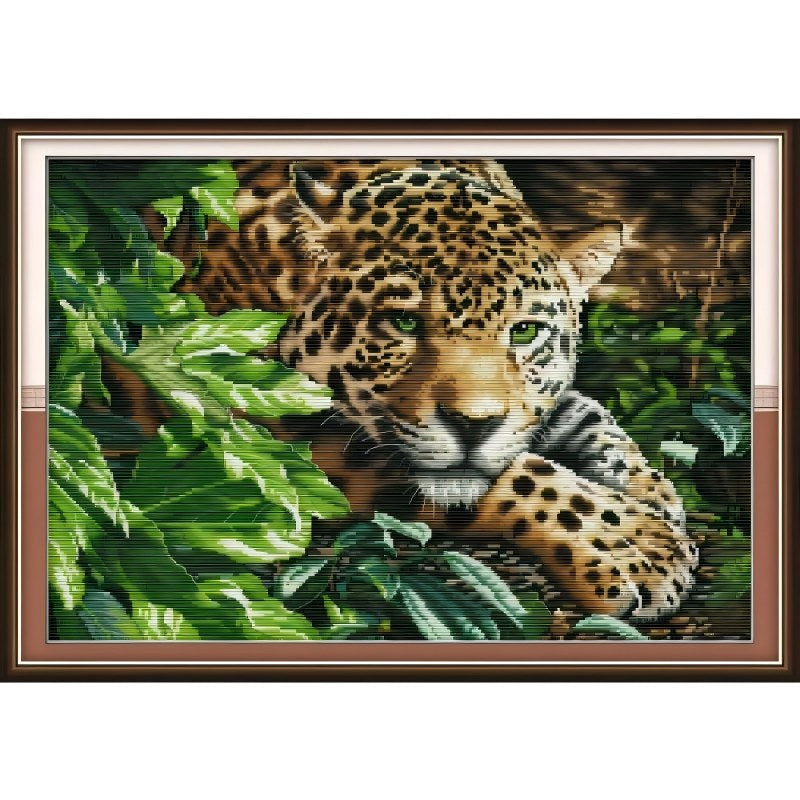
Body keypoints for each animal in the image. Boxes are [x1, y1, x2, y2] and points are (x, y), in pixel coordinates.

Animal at [143, 158, 700, 622]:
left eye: (524, 332)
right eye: (404, 323)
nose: (474, 426)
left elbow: (590, 417)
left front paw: (656, 494)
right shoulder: (264, 423)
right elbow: (523, 475)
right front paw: (640, 546)